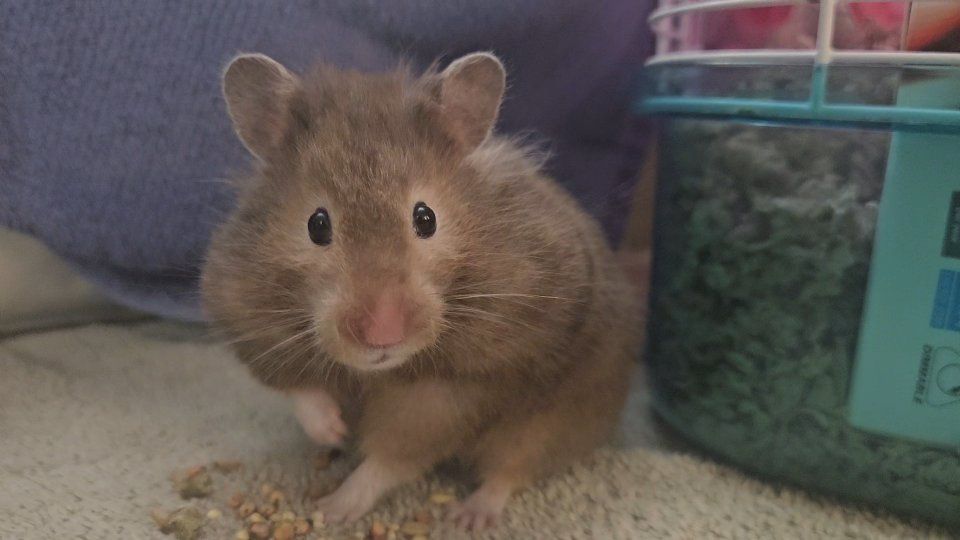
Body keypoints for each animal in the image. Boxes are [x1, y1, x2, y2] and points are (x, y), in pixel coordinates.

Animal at [201, 51, 640, 531]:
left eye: (425, 218)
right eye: (317, 225)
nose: (383, 334)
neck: (382, 373)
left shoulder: (452, 391)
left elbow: (395, 456)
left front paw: (331, 509)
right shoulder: (248, 319)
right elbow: (300, 390)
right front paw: (334, 430)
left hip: (556, 422)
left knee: (511, 469)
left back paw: (467, 518)